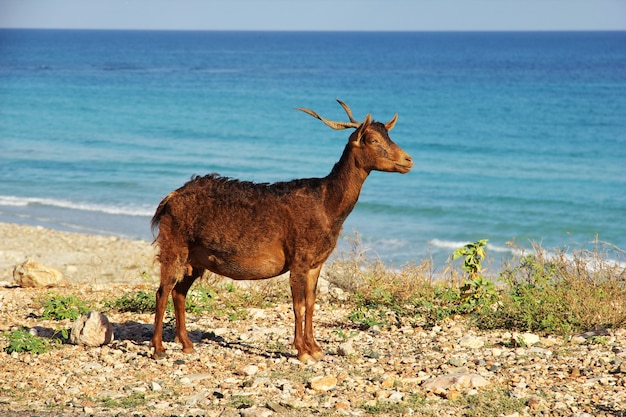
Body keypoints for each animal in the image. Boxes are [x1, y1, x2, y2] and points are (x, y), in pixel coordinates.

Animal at [149, 100, 412, 360]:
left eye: (388, 135)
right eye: (373, 140)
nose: (408, 160)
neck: (327, 204)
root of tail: (169, 198)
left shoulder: (316, 262)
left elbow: (312, 302)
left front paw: (315, 348)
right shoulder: (298, 258)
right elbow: (298, 304)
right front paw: (302, 351)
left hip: (196, 258)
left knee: (179, 292)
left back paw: (186, 344)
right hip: (174, 245)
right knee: (163, 291)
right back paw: (159, 348)